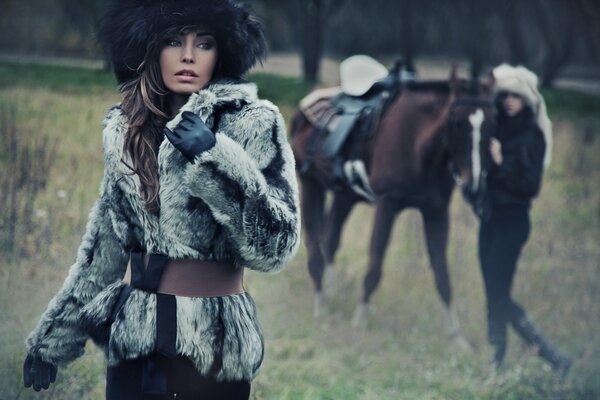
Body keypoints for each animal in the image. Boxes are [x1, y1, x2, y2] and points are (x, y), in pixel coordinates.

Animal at [290, 71, 492, 346]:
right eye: (458, 123)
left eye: (492, 124)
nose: (474, 187)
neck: (417, 143)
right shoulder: (387, 204)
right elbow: (375, 263)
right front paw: (360, 320)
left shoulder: (436, 211)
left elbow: (442, 273)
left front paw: (456, 337)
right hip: (310, 184)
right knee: (315, 246)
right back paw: (321, 305)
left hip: (345, 196)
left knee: (330, 240)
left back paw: (331, 295)